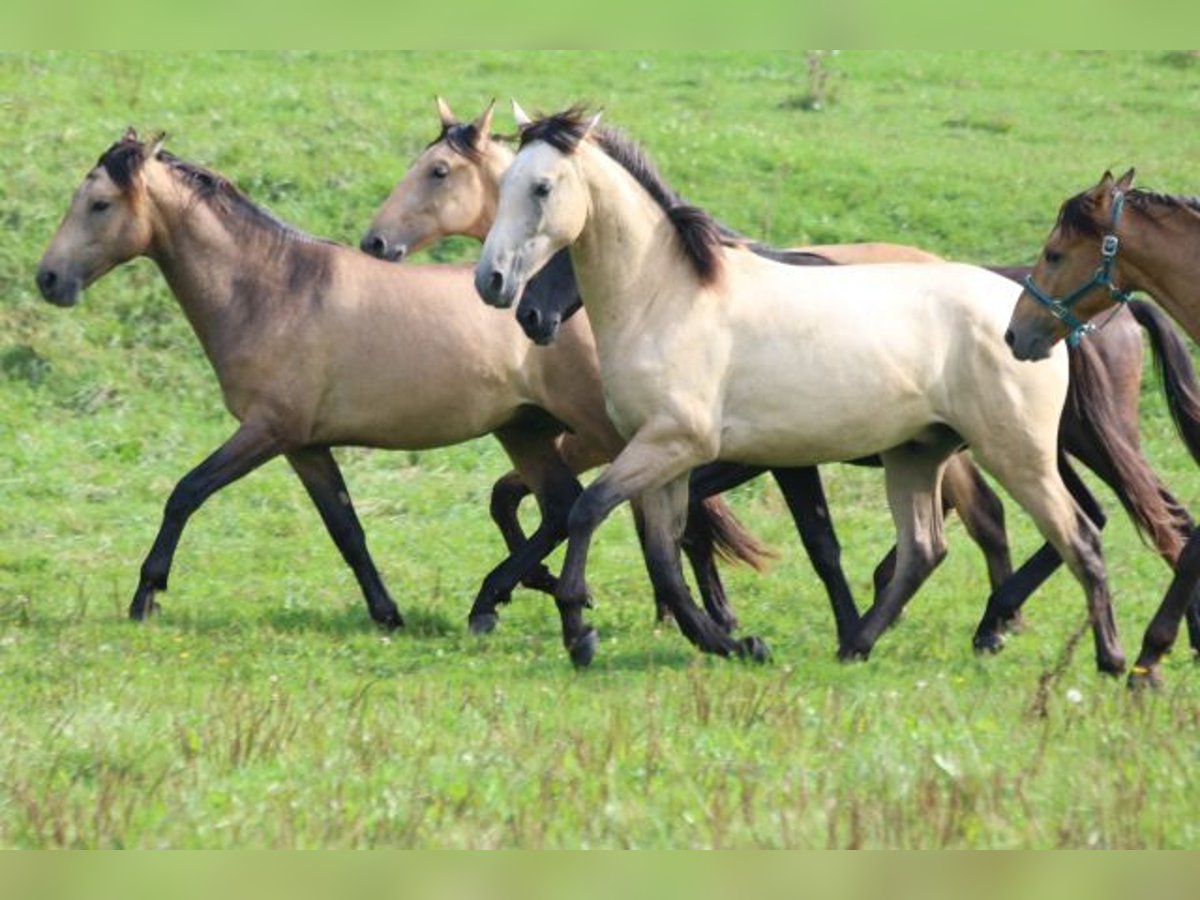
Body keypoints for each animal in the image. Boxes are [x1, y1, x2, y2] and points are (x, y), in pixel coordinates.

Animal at [35, 128, 768, 633]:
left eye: (99, 204)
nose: (48, 279)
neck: (273, 290)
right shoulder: (305, 445)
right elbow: (347, 530)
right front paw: (387, 611)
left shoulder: (266, 432)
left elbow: (184, 494)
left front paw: (146, 595)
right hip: (526, 433)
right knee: (564, 507)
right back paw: (505, 599)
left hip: (609, 431)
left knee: (661, 513)